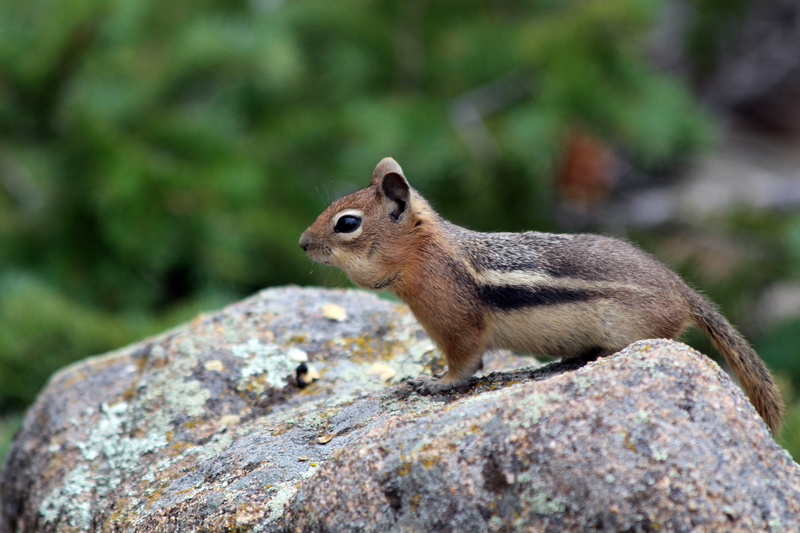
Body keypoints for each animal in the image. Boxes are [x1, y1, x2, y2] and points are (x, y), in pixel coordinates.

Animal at [299, 157, 784, 434]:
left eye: (347, 223)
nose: (303, 243)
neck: (426, 254)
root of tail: (682, 289)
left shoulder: (456, 323)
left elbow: (464, 364)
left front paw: (433, 382)